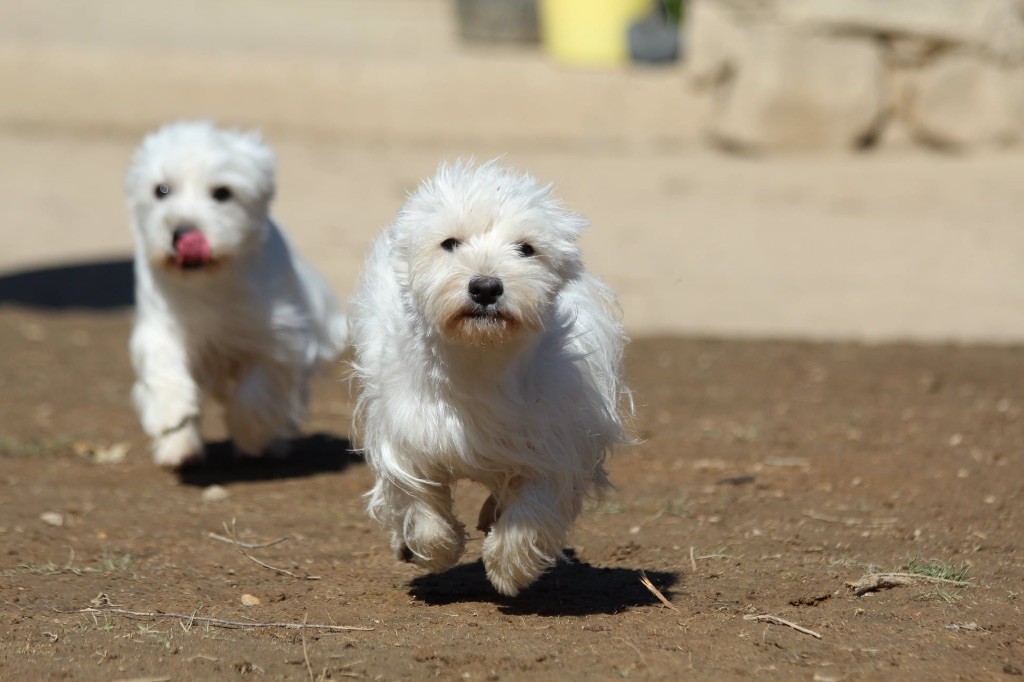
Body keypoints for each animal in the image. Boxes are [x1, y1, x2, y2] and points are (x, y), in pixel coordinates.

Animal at [124, 120, 346, 466]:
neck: (210, 280)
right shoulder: (161, 322)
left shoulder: (278, 337)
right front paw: (170, 414)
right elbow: (163, 362)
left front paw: (252, 435)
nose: (183, 234)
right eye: (161, 189)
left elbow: (257, 390)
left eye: (222, 193)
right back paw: (179, 448)